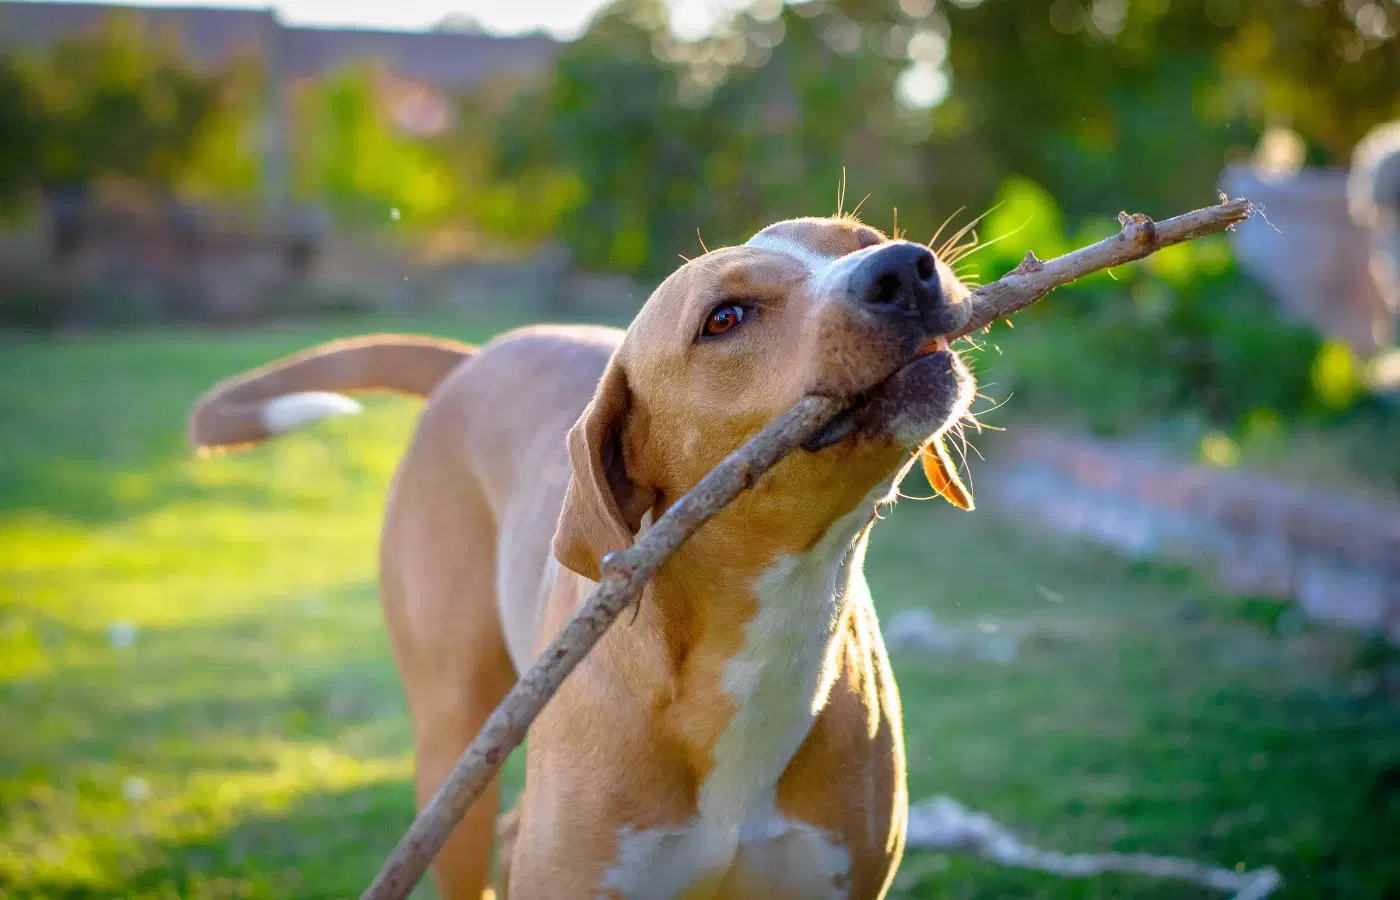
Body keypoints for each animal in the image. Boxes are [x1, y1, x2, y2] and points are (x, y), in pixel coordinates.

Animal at [186, 214, 974, 895]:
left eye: (862, 238)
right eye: (725, 317)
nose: (902, 268)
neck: (765, 630)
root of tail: (478, 356)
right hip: (453, 745)